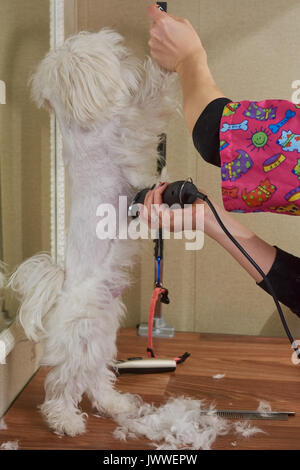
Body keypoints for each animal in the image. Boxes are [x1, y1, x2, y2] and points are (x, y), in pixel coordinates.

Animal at [8, 27, 177, 436]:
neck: (81, 123)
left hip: (100, 339)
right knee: (63, 385)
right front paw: (163, 63)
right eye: (111, 56)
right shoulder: (130, 129)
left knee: (95, 378)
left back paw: (115, 405)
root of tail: (61, 295)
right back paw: (65, 420)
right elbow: (150, 101)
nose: (128, 56)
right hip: (81, 337)